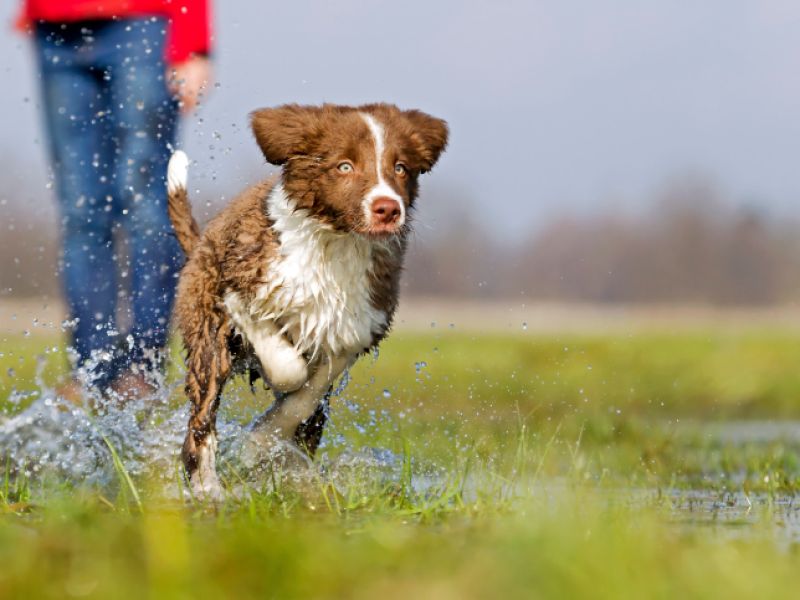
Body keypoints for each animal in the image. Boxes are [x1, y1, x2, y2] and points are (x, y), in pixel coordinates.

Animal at [166, 103, 446, 496]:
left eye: (400, 167)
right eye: (344, 166)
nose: (388, 209)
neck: (335, 245)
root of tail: (201, 243)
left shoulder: (355, 327)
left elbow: (306, 395)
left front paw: (260, 445)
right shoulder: (241, 287)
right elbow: (287, 369)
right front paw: (254, 447)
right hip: (208, 340)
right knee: (201, 420)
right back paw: (209, 490)